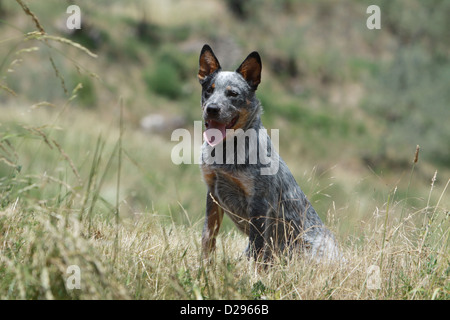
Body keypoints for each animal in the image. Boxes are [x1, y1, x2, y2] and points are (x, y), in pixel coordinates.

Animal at [197, 43, 338, 262]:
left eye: (233, 94)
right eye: (208, 90)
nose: (211, 108)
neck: (226, 150)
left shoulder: (259, 203)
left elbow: (257, 247)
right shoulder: (213, 193)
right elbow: (208, 237)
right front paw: (205, 265)